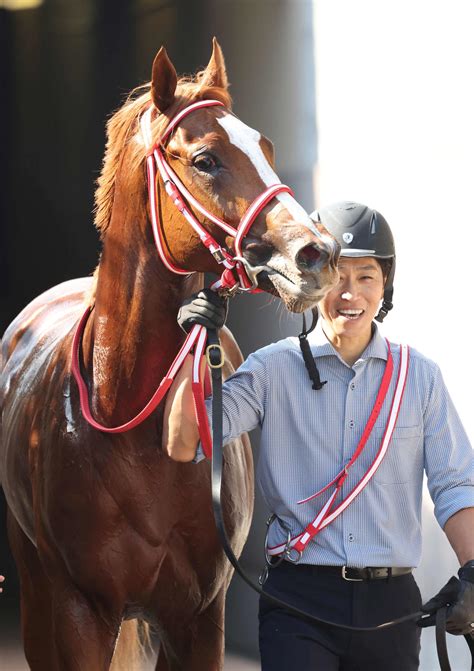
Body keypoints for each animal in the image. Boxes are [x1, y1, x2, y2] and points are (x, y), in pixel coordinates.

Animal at [0, 43, 340, 671]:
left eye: (266, 148)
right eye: (205, 159)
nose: (317, 254)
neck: (126, 416)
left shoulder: (200, 617)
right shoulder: (80, 611)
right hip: (36, 591)